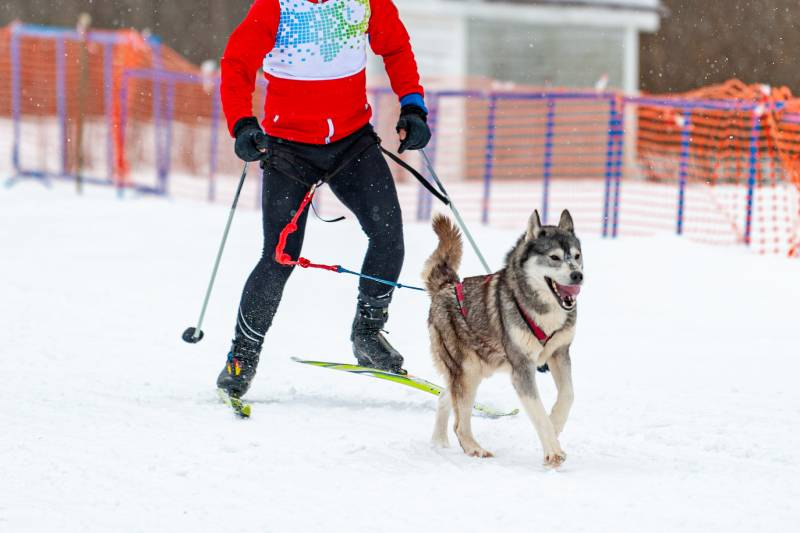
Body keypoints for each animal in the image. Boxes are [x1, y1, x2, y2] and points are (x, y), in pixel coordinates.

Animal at [422, 209, 584, 466]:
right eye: (555, 257)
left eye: (577, 256)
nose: (578, 275)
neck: (543, 312)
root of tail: (446, 286)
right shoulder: (522, 368)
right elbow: (538, 412)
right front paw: (553, 451)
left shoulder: (560, 354)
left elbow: (568, 395)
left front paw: (555, 425)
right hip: (467, 370)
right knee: (459, 423)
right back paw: (474, 448)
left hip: (475, 371)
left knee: (445, 397)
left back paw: (439, 441)